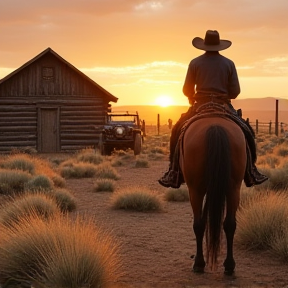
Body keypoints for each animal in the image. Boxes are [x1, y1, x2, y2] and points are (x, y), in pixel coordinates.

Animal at [180, 116, 245, 274]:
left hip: (195, 189)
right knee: (230, 224)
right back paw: (229, 265)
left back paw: (199, 263)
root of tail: (216, 127)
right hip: (234, 188)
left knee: (198, 224)